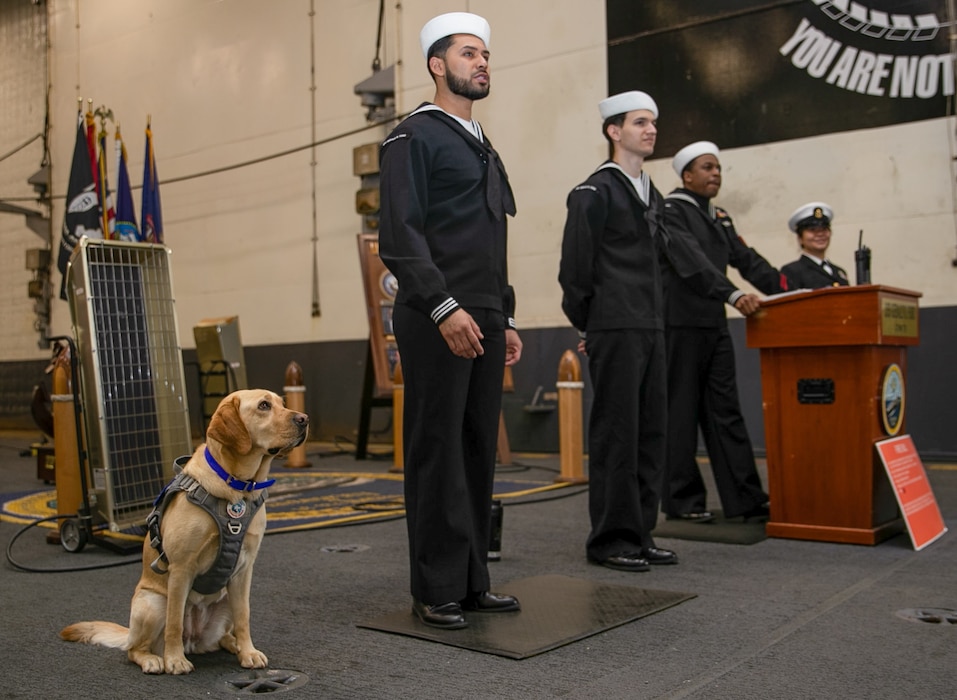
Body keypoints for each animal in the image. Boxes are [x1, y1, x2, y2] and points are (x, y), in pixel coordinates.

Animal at [60, 388, 306, 672]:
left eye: (283, 403)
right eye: (264, 406)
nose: (304, 419)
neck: (237, 487)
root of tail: (195, 641)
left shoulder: (244, 570)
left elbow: (244, 617)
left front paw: (248, 652)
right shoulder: (181, 568)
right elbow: (175, 621)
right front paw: (175, 660)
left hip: (225, 599)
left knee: (224, 633)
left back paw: (232, 644)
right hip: (152, 604)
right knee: (135, 649)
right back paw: (154, 659)